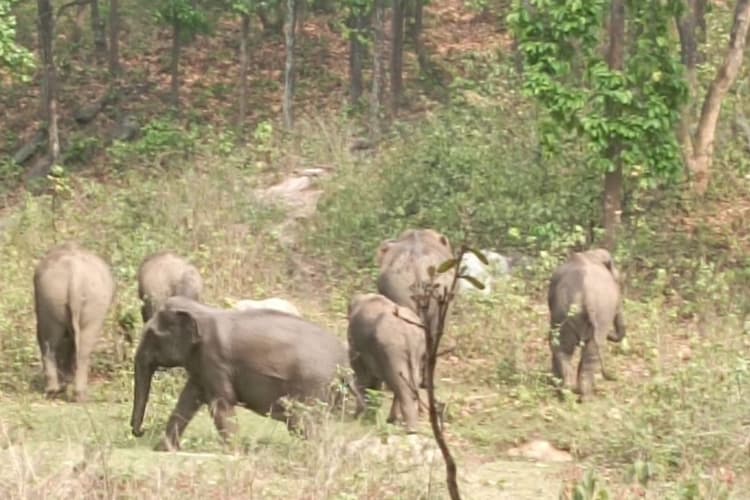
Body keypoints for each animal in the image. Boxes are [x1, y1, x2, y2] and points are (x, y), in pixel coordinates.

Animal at [33, 242, 115, 402]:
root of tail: (75, 276)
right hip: (85, 301)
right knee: (81, 346)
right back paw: (78, 395)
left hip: (52, 297)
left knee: (50, 342)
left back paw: (54, 391)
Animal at [130, 296, 362, 451]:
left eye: (151, 335)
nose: (140, 431)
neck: (203, 311)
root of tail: (345, 365)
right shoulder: (201, 365)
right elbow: (187, 400)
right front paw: (163, 450)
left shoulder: (214, 359)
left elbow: (221, 403)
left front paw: (233, 453)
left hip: (313, 385)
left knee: (302, 422)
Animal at [347, 293, 427, 433]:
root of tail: (408, 334)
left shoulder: (357, 345)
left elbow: (361, 371)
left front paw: (358, 416)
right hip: (416, 351)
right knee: (408, 381)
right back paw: (396, 421)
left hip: (393, 350)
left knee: (399, 384)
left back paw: (410, 429)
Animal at [547, 248, 626, 400]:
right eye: (619, 283)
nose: (615, 377)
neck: (591, 254)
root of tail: (586, 297)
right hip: (596, 313)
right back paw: (581, 396)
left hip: (567, 313)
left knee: (564, 348)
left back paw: (568, 393)